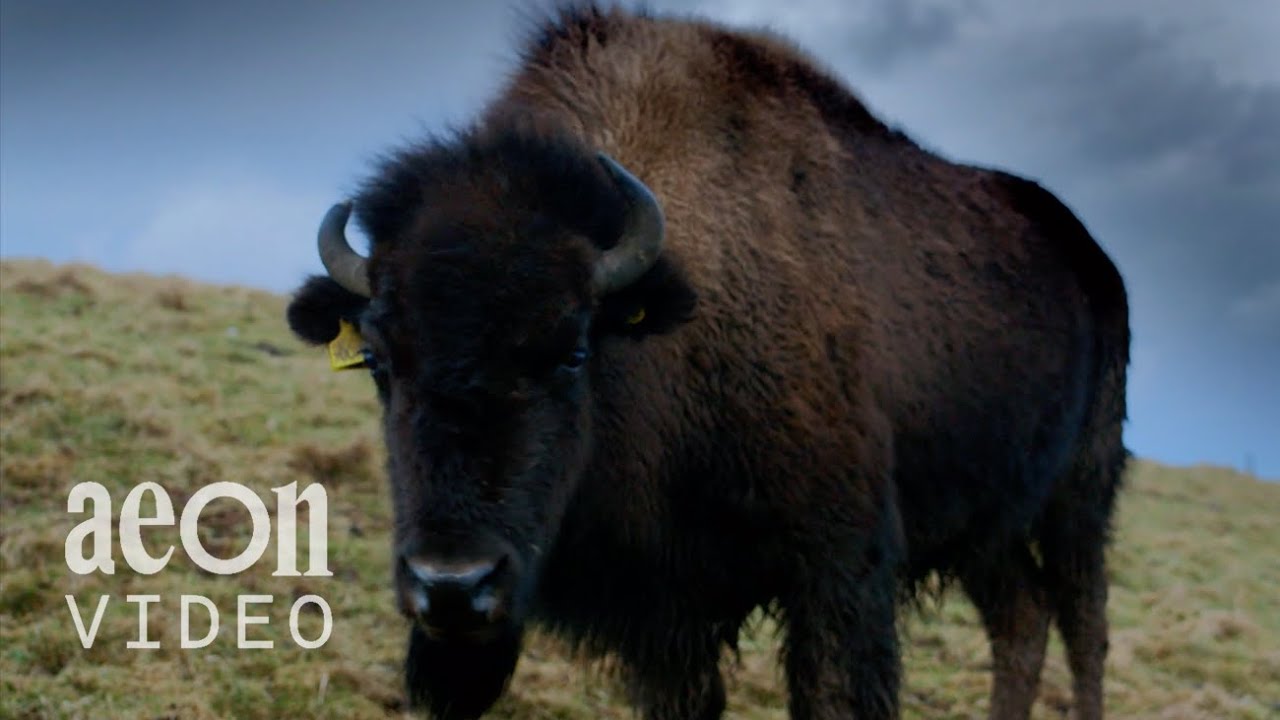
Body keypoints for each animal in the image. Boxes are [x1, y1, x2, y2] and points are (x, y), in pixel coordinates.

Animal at [286, 5, 1130, 719]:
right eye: (378, 360)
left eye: (573, 350)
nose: (453, 586)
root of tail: (1091, 257)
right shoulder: (670, 613)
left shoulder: (838, 571)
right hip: (990, 522)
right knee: (1022, 616)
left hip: (1080, 498)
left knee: (1083, 628)